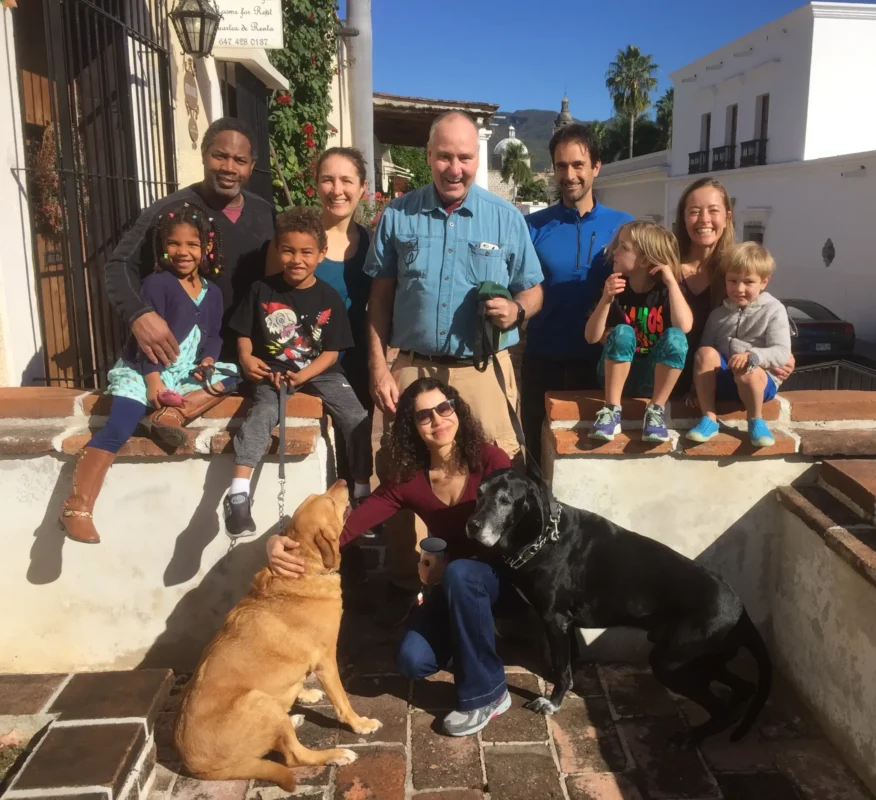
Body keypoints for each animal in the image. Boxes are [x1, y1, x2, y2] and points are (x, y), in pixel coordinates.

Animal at [175, 482, 384, 788]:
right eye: (330, 502)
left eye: (319, 496)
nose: (343, 482)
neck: (305, 569)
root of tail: (195, 767)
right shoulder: (326, 660)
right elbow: (342, 701)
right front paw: (360, 724)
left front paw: (304, 692)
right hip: (257, 701)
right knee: (294, 757)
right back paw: (335, 753)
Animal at [468, 466, 768, 748]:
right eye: (479, 493)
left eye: (505, 500)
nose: (473, 526)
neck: (541, 537)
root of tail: (741, 611)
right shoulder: (564, 625)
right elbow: (565, 663)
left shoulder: (556, 619)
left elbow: (563, 671)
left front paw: (553, 702)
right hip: (705, 660)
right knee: (744, 689)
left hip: (671, 662)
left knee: (721, 706)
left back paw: (692, 737)